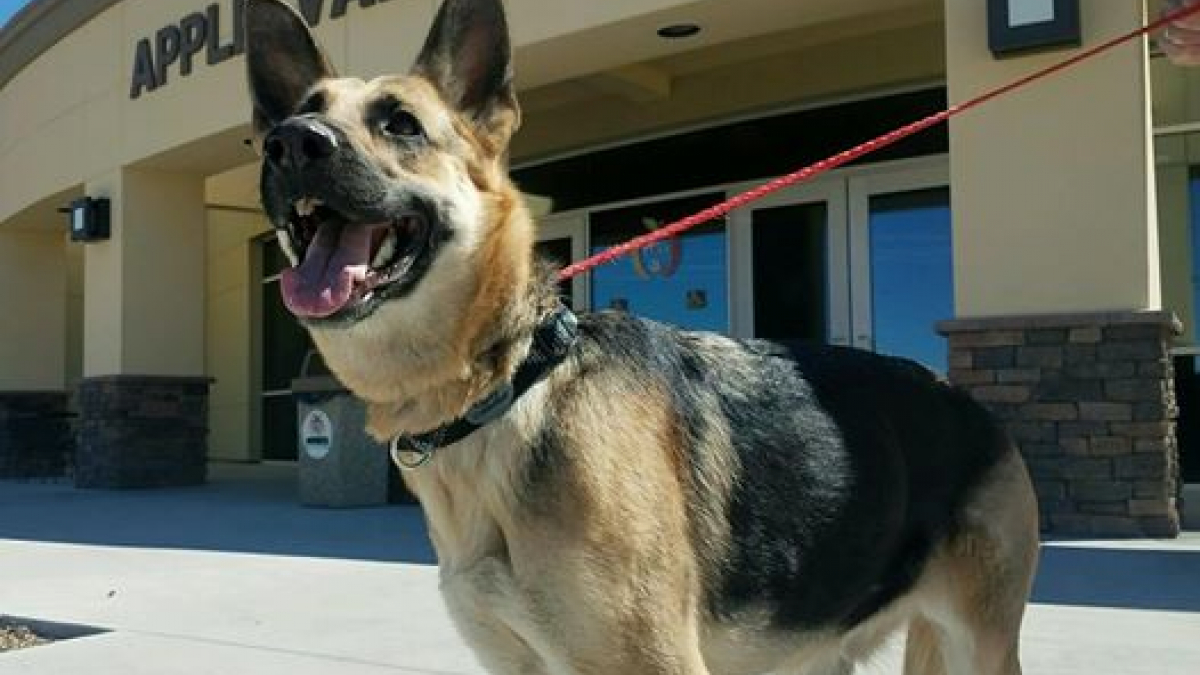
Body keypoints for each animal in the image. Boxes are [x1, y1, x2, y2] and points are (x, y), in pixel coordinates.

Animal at [246, 1, 1041, 667]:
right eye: (302, 117)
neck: (509, 384)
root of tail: (958, 393)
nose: (289, 143)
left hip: (975, 645)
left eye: (402, 124)